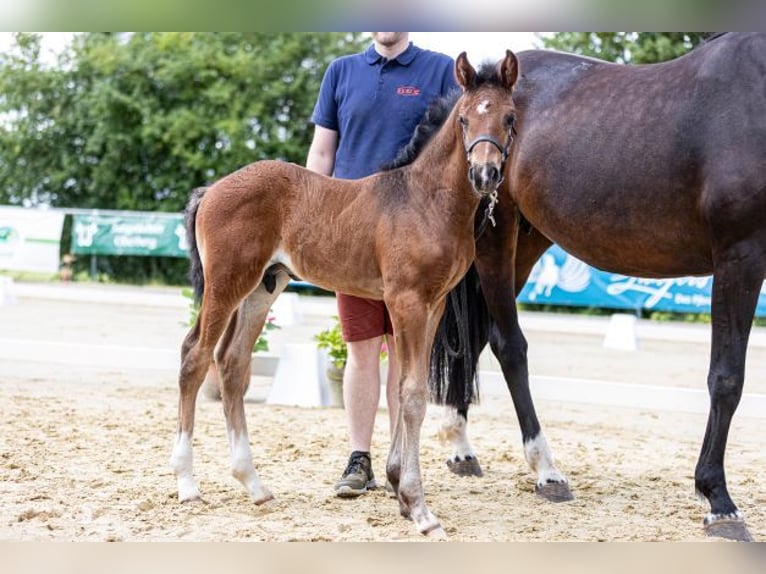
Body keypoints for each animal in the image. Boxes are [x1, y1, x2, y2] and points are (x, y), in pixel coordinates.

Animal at [171, 50, 520, 540]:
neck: (425, 201)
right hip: (226, 284)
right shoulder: (407, 301)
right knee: (195, 357)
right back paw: (187, 484)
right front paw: (420, 509)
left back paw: (254, 484)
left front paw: (401, 493)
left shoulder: (432, 306)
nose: (485, 174)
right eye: (466, 119)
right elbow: (413, 394)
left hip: (263, 287)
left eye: (509, 118)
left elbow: (405, 390)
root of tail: (211, 189)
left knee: (232, 363)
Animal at [432, 33, 766, 544]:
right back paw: (546, 470)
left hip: (527, 241)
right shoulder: (740, 255)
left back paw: (461, 446)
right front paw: (719, 501)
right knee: (507, 344)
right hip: (495, 236)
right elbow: (727, 378)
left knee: (474, 337)